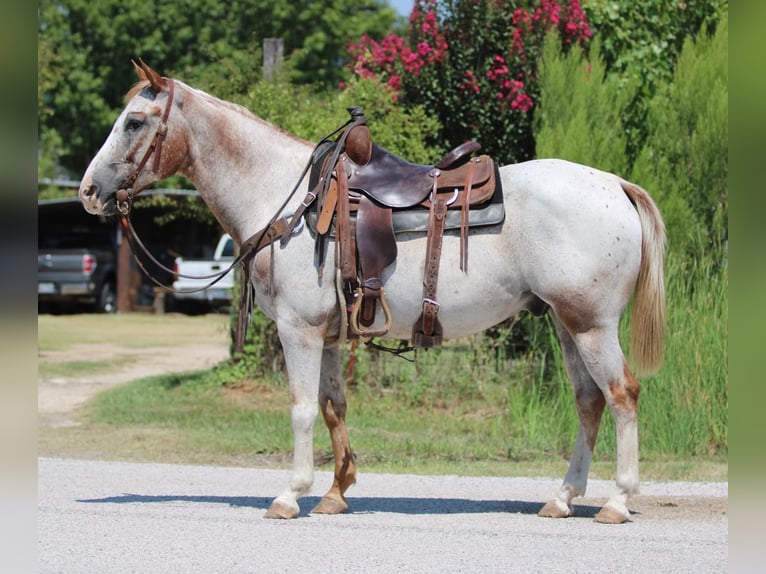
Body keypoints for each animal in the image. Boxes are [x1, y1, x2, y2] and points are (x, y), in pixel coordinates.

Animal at [78, 61, 665, 524]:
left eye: (134, 122)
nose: (88, 191)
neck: (286, 198)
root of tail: (616, 184)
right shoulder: (328, 336)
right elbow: (333, 406)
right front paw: (337, 492)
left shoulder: (299, 330)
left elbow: (301, 409)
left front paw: (290, 495)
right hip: (566, 323)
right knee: (589, 401)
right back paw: (563, 497)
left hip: (591, 325)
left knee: (622, 395)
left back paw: (617, 501)